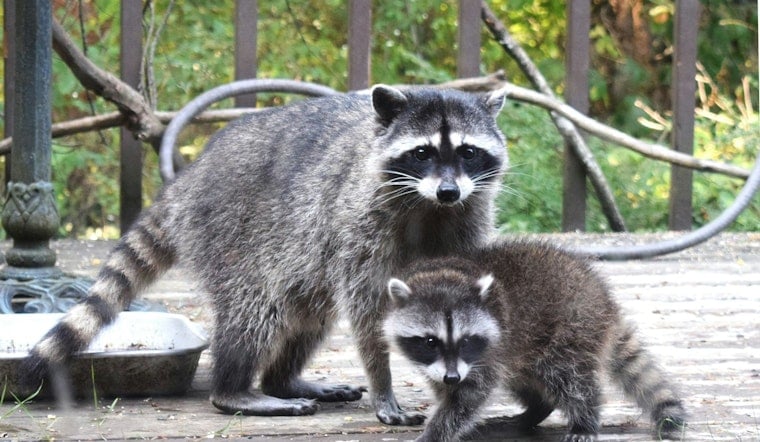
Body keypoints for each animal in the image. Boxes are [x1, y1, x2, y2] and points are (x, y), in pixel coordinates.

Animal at [21, 85, 508, 424]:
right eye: (422, 153)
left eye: (467, 152)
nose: (449, 191)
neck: (429, 208)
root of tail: (191, 176)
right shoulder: (359, 223)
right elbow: (369, 313)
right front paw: (384, 384)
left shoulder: (467, 221)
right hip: (230, 232)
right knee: (255, 312)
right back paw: (236, 389)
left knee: (308, 313)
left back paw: (283, 379)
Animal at [383, 240, 686, 441]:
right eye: (430, 341)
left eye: (466, 340)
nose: (452, 377)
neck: (445, 277)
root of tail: (604, 300)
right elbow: (450, 390)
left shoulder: (487, 353)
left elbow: (468, 396)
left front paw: (436, 430)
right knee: (523, 378)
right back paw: (536, 410)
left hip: (573, 327)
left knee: (569, 377)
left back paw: (584, 420)